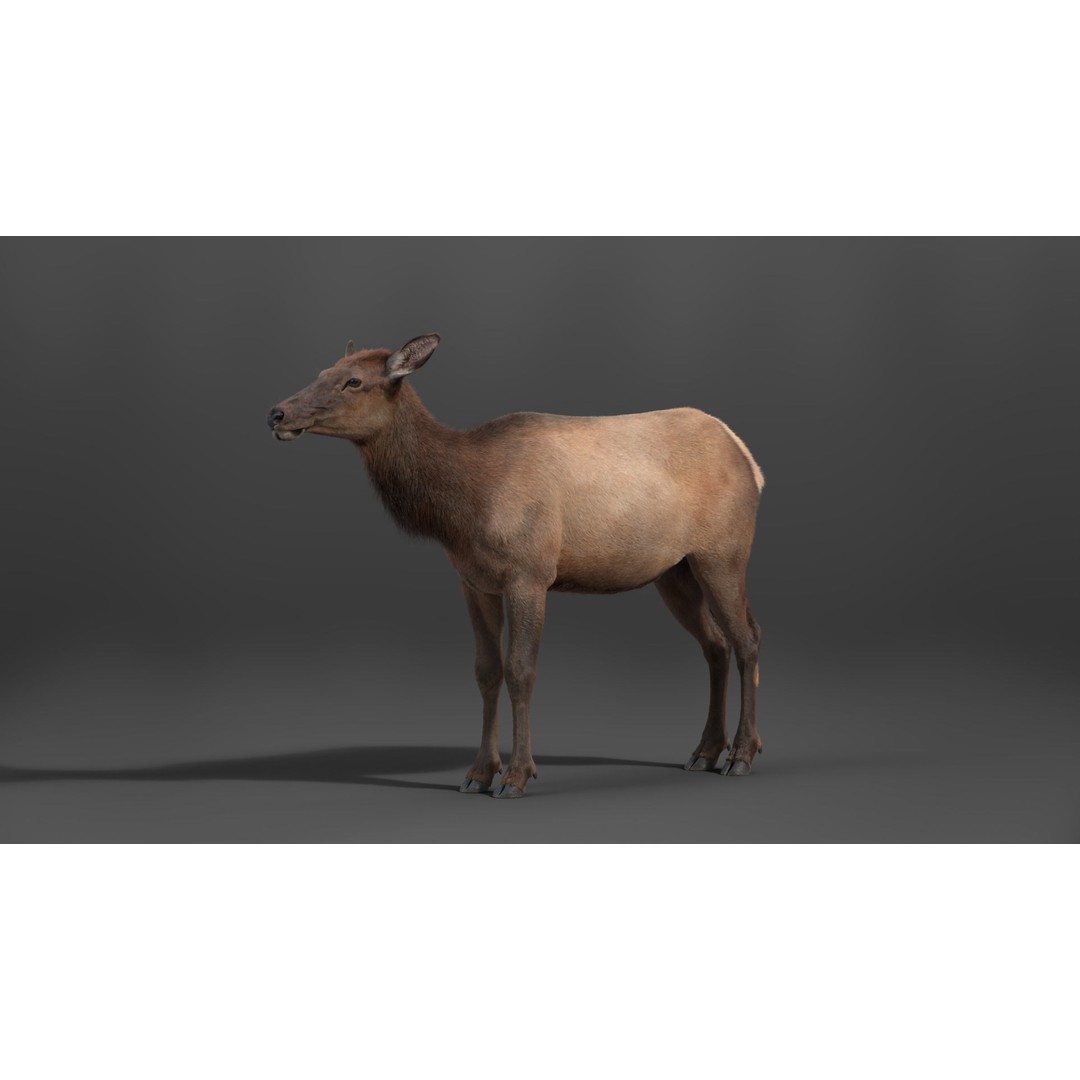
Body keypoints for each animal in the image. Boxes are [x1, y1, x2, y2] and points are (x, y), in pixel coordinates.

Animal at [267, 335, 764, 799]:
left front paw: (517, 776)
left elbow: (520, 670)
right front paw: (477, 773)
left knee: (747, 640)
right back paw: (705, 751)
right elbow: (486, 671)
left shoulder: (530, 573)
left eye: (354, 382)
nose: (277, 413)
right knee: (716, 644)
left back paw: (741, 754)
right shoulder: (474, 581)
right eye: (323, 370)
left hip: (724, 552)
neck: (461, 508)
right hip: (675, 571)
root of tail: (750, 460)